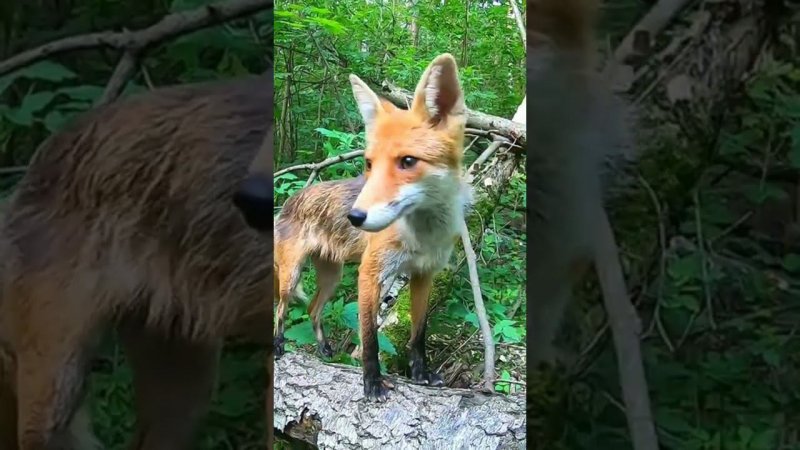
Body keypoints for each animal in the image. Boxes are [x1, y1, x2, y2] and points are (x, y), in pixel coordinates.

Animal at [272, 52, 472, 400]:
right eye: (369, 164)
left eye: (408, 161)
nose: (355, 217)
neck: (423, 236)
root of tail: (290, 200)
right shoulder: (370, 272)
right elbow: (369, 338)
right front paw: (372, 381)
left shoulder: (424, 274)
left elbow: (418, 333)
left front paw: (421, 373)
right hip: (292, 275)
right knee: (281, 309)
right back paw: (278, 344)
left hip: (332, 277)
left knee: (312, 309)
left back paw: (325, 349)